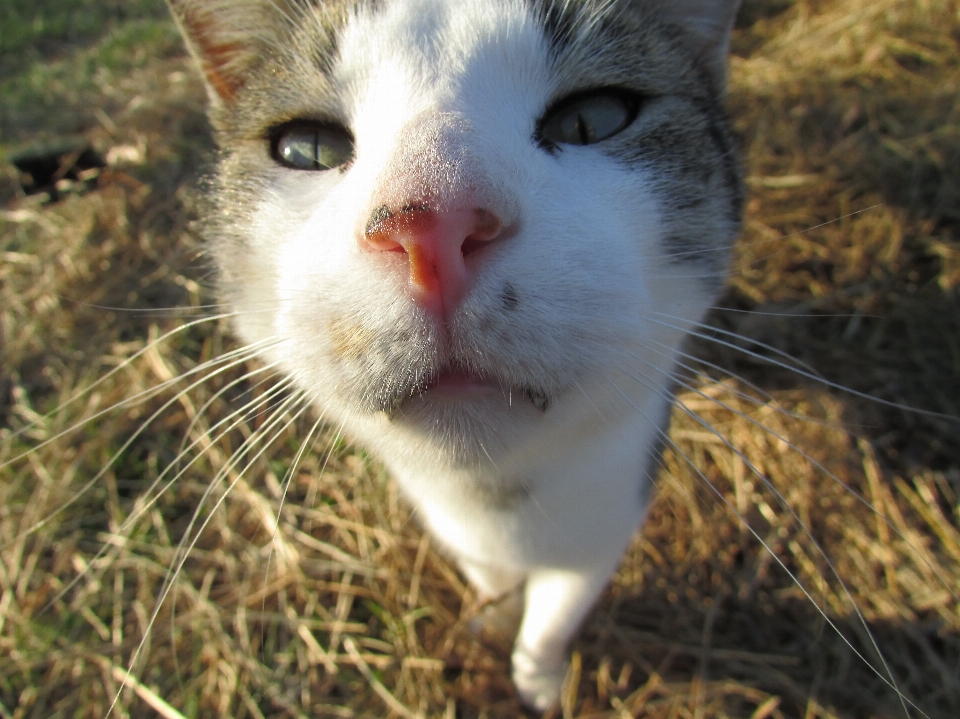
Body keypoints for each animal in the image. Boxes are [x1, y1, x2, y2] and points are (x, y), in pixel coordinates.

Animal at [167, 0, 744, 708]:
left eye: (594, 118)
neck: (493, 495)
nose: (431, 221)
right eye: (306, 148)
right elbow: (495, 584)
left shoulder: (606, 525)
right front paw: (494, 618)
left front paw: (538, 679)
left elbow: (551, 621)